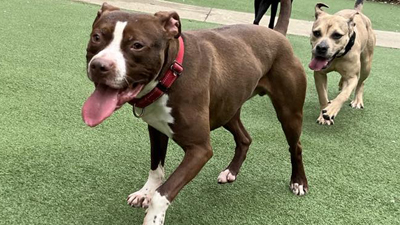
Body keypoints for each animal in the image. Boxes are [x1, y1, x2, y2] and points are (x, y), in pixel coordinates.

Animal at [80, 1, 306, 223]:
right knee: (245, 138)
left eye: (137, 45)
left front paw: (153, 216)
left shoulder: (199, 149)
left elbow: (162, 194)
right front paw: (145, 193)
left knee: (295, 147)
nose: (99, 66)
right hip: (227, 108)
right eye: (97, 37)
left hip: (289, 113)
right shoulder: (156, 130)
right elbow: (156, 168)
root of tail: (277, 33)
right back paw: (231, 172)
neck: (171, 75)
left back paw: (298, 182)